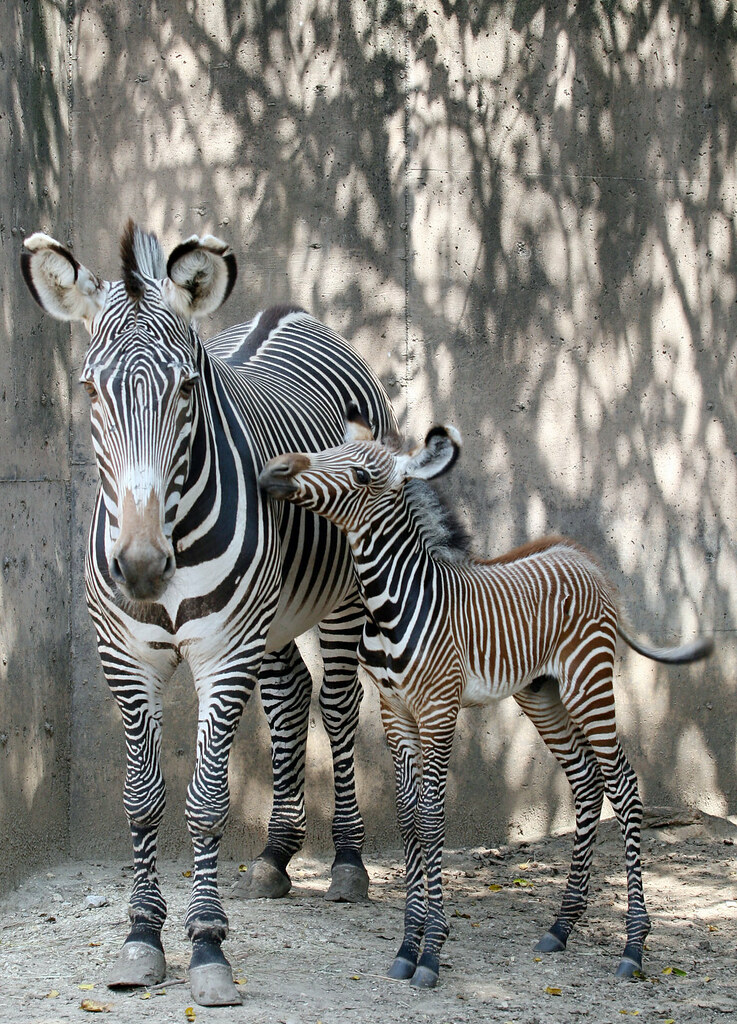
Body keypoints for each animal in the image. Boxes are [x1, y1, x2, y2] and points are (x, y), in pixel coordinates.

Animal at [20, 224, 396, 1006]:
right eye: (88, 388)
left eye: (188, 387)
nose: (139, 567)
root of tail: (292, 312)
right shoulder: (125, 659)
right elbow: (141, 799)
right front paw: (140, 937)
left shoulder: (224, 653)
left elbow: (205, 801)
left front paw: (205, 945)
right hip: (271, 617)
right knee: (289, 699)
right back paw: (277, 855)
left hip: (339, 598)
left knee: (338, 707)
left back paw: (347, 862)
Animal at [259, 407, 714, 988]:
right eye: (328, 453)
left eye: (360, 475)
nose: (273, 472)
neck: (395, 603)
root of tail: (582, 557)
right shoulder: (395, 714)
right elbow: (409, 820)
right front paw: (407, 947)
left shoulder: (438, 709)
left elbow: (432, 818)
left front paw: (431, 950)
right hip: (542, 694)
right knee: (587, 784)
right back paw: (561, 927)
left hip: (588, 682)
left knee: (625, 786)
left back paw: (633, 946)